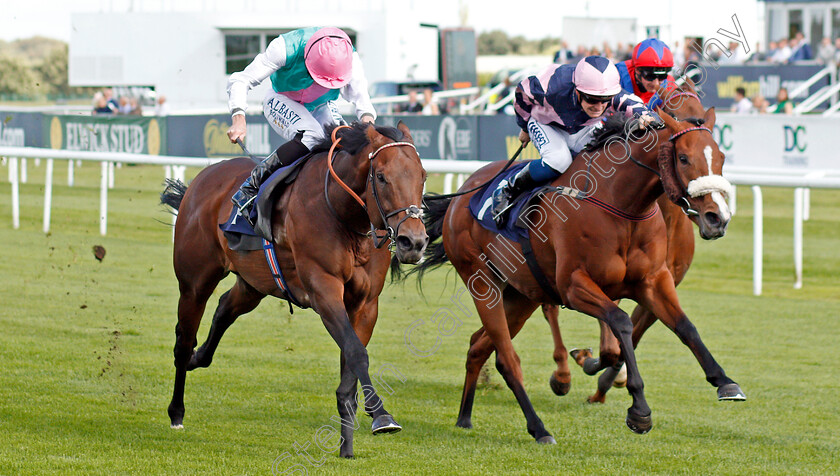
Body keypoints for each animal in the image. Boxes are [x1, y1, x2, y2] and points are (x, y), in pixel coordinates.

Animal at [162, 120, 430, 458]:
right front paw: (381, 415)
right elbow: (357, 353)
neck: (343, 214)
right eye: (381, 177)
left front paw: (346, 447)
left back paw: (199, 359)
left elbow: (350, 363)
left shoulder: (365, 303)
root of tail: (203, 178)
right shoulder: (323, 289)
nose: (413, 242)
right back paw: (176, 412)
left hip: (254, 283)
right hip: (195, 281)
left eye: (423, 176)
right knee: (184, 340)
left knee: (224, 309)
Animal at [410, 108, 740, 442]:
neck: (620, 204)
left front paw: (725, 381)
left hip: (522, 295)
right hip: (482, 282)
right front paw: (639, 410)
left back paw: (465, 417)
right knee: (508, 359)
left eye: (721, 157)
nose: (718, 218)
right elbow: (621, 323)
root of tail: (461, 197)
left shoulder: (652, 281)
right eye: (684, 158)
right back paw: (539, 428)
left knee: (479, 346)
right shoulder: (574, 286)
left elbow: (685, 327)